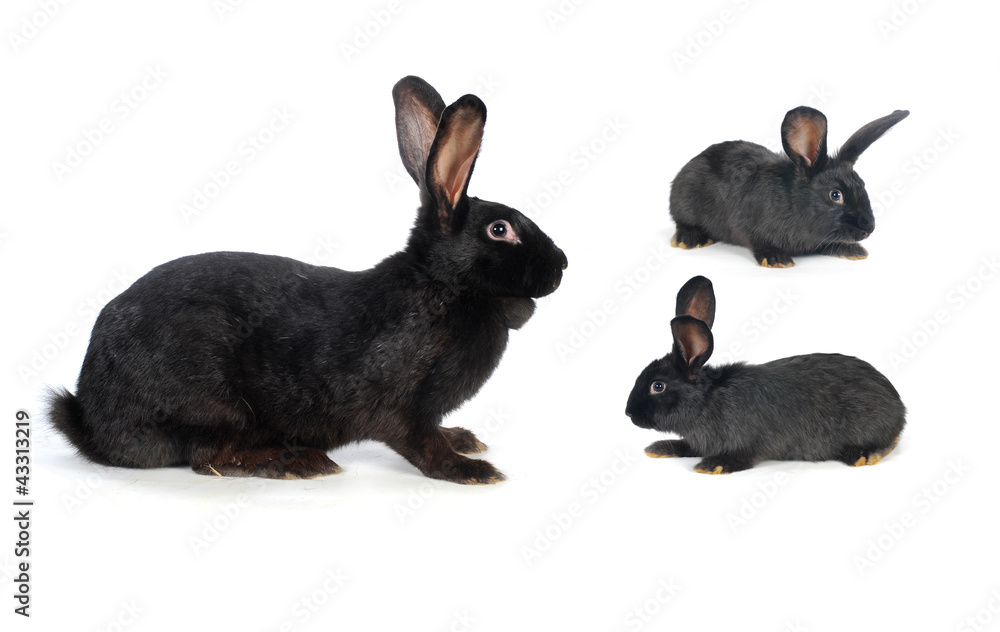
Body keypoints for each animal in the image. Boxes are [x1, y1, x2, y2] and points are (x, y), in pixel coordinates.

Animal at [47, 76, 567, 484]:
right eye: (500, 230)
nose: (562, 264)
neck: (442, 286)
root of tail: (90, 417)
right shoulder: (397, 404)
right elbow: (420, 442)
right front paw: (471, 470)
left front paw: (464, 440)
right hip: (213, 404)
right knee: (210, 457)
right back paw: (300, 462)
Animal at [625, 276, 905, 474]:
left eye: (657, 386)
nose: (628, 413)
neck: (706, 400)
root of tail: (900, 408)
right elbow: (686, 446)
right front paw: (658, 449)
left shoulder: (748, 442)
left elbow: (743, 456)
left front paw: (713, 465)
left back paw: (862, 455)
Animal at [669, 106, 909, 267]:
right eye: (835, 195)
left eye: (862, 184)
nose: (869, 228)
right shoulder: (749, 225)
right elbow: (759, 242)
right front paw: (777, 259)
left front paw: (854, 251)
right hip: (684, 201)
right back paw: (689, 240)